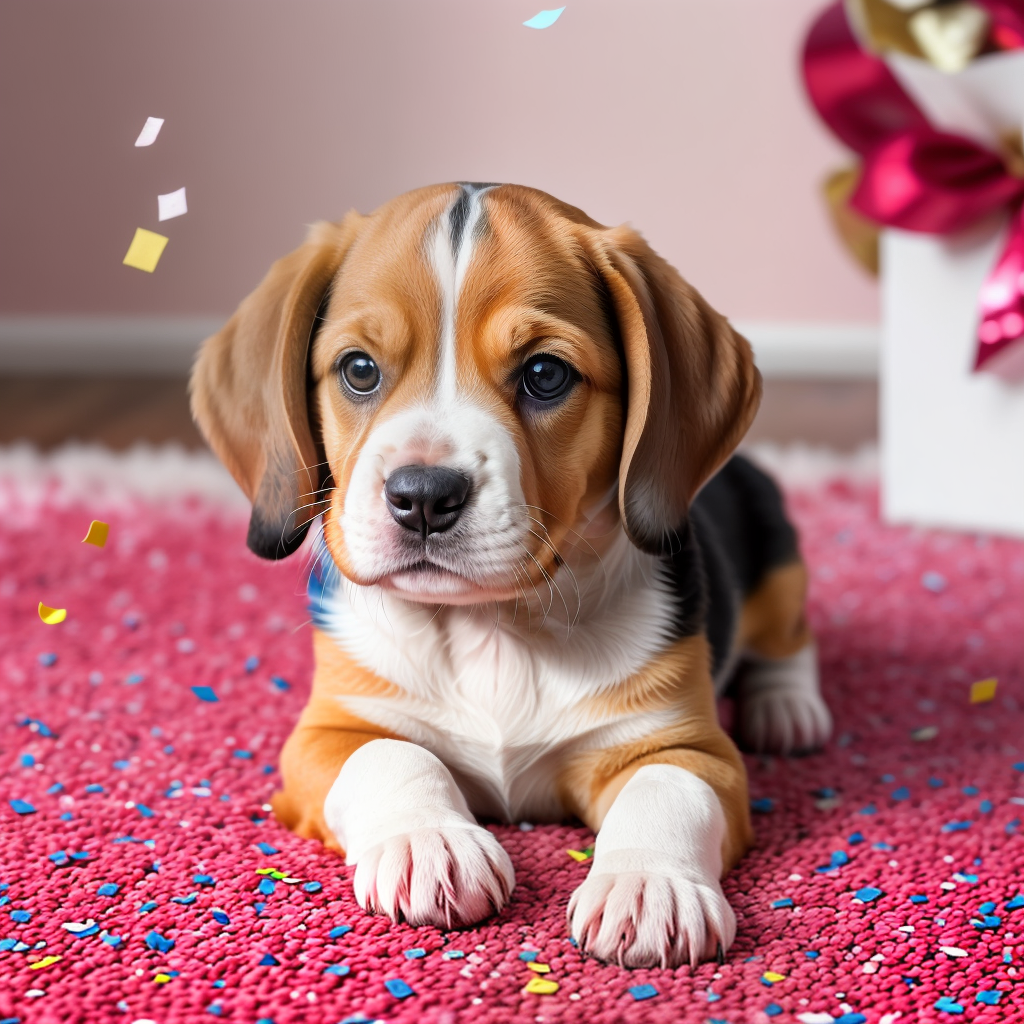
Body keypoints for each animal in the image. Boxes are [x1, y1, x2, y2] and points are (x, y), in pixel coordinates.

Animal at [190, 184, 831, 966]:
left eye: (545, 375)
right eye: (359, 370)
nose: (423, 496)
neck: (492, 629)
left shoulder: (687, 746)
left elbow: (662, 791)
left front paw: (649, 885)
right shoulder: (329, 730)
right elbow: (391, 757)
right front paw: (429, 841)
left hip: (781, 564)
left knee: (790, 642)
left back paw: (786, 709)